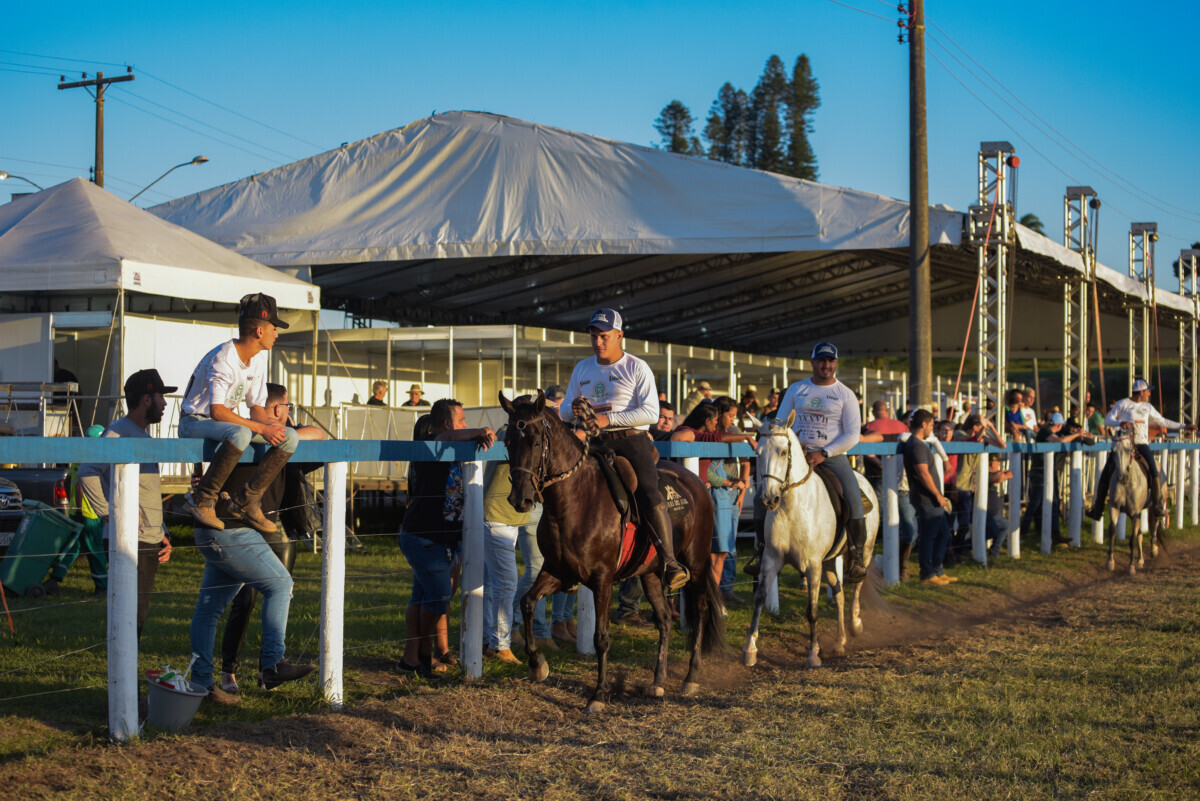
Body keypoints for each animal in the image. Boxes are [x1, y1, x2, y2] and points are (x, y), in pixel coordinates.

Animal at [496, 390, 720, 709]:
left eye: (537, 442)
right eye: (508, 442)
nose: (521, 499)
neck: (575, 499)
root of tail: (697, 484)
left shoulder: (601, 579)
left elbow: (601, 636)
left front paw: (599, 694)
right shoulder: (556, 571)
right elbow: (527, 602)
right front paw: (538, 665)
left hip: (697, 564)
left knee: (699, 612)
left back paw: (691, 678)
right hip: (651, 573)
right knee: (664, 619)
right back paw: (658, 682)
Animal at [739, 412, 883, 671]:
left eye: (783, 452)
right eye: (758, 453)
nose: (768, 499)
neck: (791, 509)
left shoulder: (812, 566)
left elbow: (812, 611)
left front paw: (813, 654)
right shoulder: (771, 561)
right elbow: (759, 601)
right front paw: (750, 650)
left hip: (864, 551)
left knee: (857, 584)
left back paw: (855, 624)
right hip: (830, 561)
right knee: (839, 594)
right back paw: (839, 642)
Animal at [1099, 431, 1166, 575]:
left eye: (1127, 449)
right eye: (1113, 451)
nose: (1121, 476)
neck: (1128, 482)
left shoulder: (1135, 513)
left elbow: (1132, 539)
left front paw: (1131, 566)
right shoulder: (1115, 508)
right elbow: (1113, 531)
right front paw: (1110, 562)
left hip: (1157, 504)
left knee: (1155, 524)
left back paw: (1153, 549)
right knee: (1140, 534)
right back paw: (1140, 560)